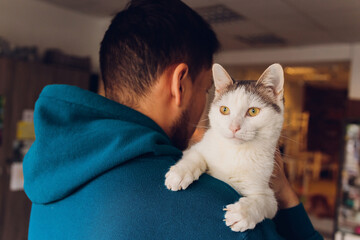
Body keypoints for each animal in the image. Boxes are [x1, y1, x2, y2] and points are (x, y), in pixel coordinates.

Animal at [165, 62, 286, 232]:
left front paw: (242, 213)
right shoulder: (197, 147)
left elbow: (262, 202)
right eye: (224, 110)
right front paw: (180, 173)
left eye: (253, 111)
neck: (235, 152)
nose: (234, 128)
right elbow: (196, 155)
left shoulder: (269, 196)